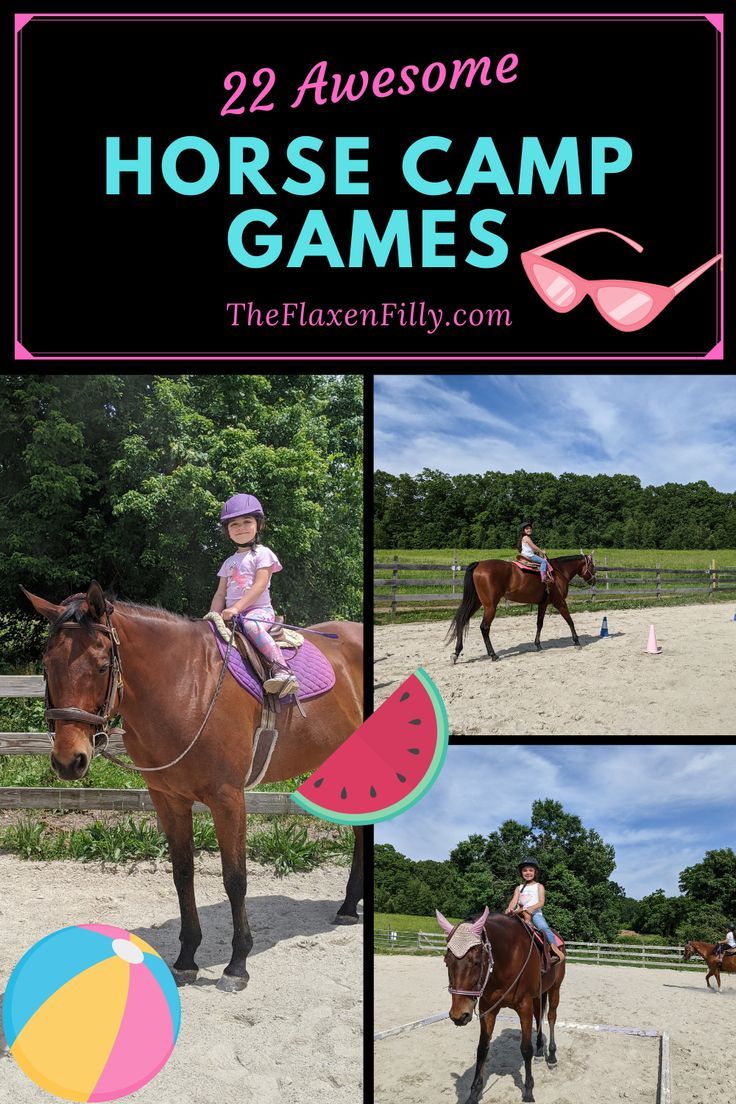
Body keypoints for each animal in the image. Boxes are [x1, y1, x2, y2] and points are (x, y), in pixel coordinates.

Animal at [24, 582, 364, 998]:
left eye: (102, 666)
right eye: (47, 667)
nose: (68, 760)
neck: (187, 688)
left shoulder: (228, 798)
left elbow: (235, 878)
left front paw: (237, 964)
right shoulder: (168, 799)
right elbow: (182, 874)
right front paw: (186, 959)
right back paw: (348, 906)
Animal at [434, 905, 569, 1104]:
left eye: (476, 962)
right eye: (446, 961)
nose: (459, 1015)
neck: (508, 958)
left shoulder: (524, 1005)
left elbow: (525, 1049)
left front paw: (528, 1091)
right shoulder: (488, 1008)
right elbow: (482, 1049)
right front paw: (473, 1094)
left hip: (555, 988)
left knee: (551, 1017)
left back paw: (551, 1056)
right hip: (538, 995)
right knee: (539, 1018)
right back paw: (540, 1051)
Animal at [445, 552, 595, 662]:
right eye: (593, 566)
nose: (594, 581)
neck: (558, 572)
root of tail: (479, 564)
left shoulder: (543, 604)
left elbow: (539, 624)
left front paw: (538, 645)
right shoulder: (560, 602)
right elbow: (570, 620)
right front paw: (577, 642)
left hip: (476, 602)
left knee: (462, 620)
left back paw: (456, 653)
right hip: (490, 606)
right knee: (484, 627)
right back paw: (493, 655)